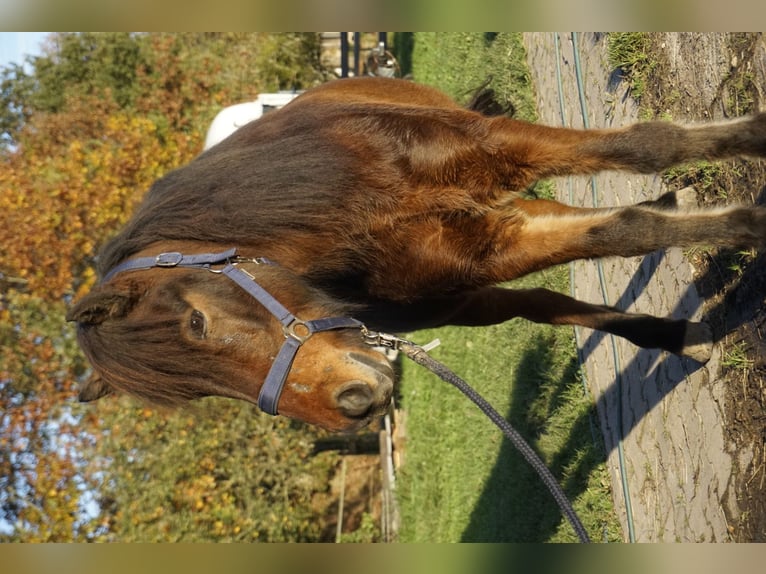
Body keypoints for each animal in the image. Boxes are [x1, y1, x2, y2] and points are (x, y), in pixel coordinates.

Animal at [67, 79, 766, 434]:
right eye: (204, 393)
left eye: (197, 322)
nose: (353, 405)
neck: (347, 220)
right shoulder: (473, 266)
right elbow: (606, 243)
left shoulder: (493, 148)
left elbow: (646, 148)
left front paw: (750, 198)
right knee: (556, 272)